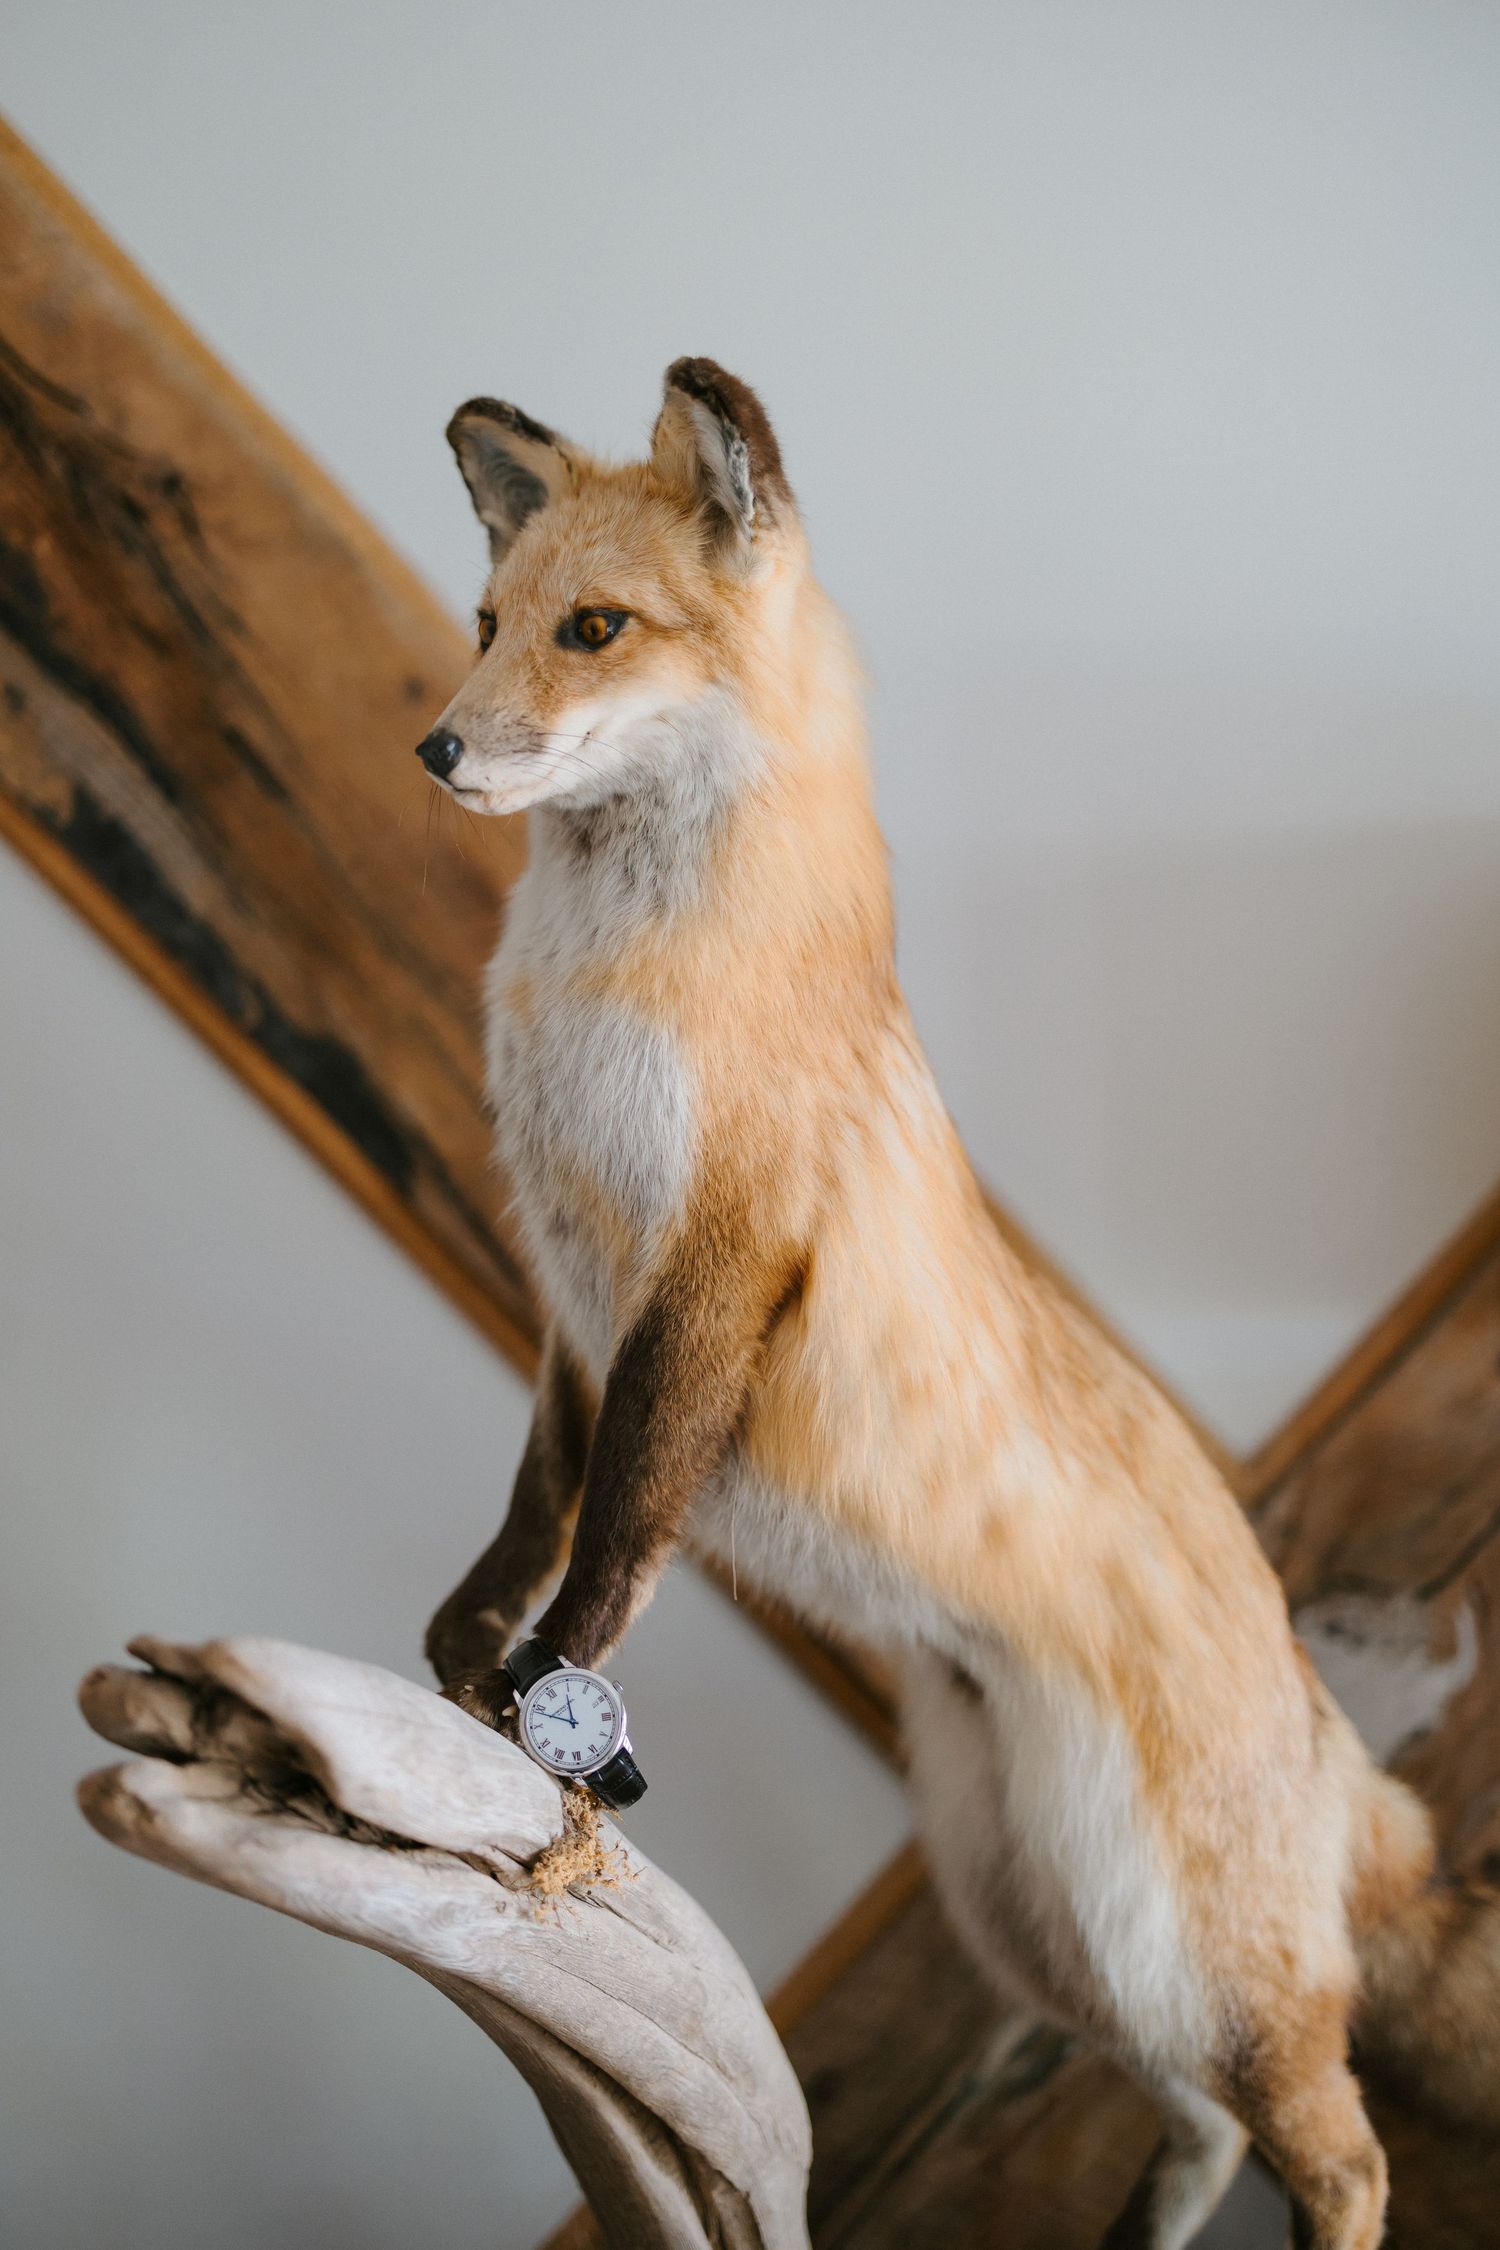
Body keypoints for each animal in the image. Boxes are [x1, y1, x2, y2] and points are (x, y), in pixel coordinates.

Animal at [418, 358, 1500, 2248]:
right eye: (489, 624)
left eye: (592, 629)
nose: (440, 746)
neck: (611, 994)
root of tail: (1312, 1698)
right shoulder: (572, 1289)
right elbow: (540, 1501)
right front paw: (469, 1657)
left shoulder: (707, 1273)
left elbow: (620, 1526)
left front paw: (550, 1696)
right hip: (1042, 1924)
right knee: (1204, 2127)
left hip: (1186, 1957)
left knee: (1346, 2148)